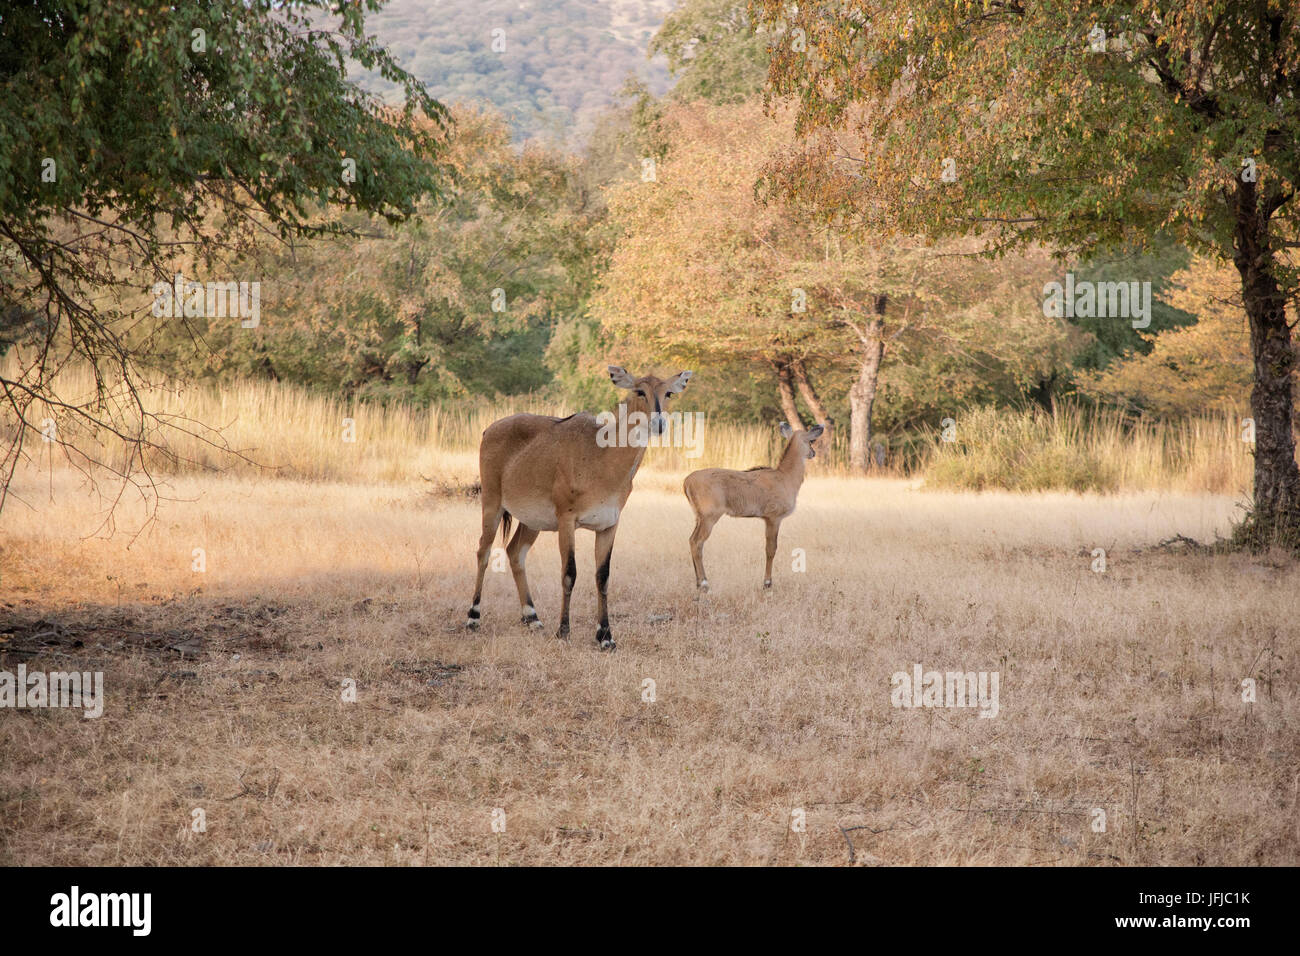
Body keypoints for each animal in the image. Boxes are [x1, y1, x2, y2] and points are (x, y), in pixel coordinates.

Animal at [465, 366, 691, 650]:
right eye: (640, 391)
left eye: (669, 393)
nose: (658, 424)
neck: (602, 458)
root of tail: (489, 430)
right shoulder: (567, 520)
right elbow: (569, 573)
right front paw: (563, 631)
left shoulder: (609, 525)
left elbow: (603, 575)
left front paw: (605, 636)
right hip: (492, 503)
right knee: (483, 551)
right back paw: (473, 617)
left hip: (531, 520)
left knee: (515, 551)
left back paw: (532, 617)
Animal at [681, 424, 821, 590]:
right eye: (811, 441)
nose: (813, 453)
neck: (785, 477)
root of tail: (686, 482)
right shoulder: (773, 517)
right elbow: (771, 549)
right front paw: (767, 583)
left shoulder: (767, 518)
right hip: (709, 516)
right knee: (697, 542)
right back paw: (704, 583)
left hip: (699, 517)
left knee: (691, 540)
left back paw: (698, 582)